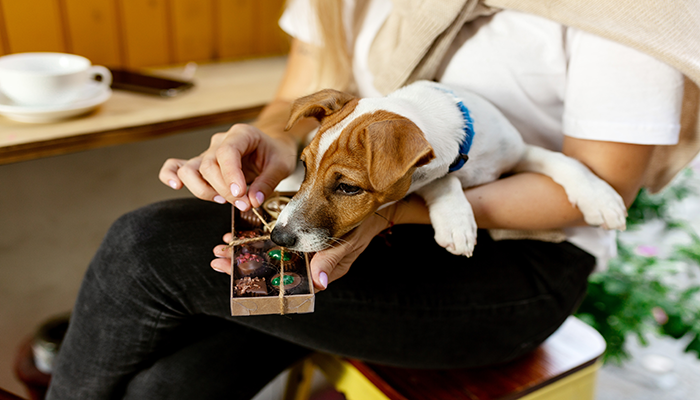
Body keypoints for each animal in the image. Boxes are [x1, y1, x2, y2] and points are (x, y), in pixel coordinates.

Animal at [270, 80, 628, 256]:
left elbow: (566, 161)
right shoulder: (438, 170)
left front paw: (601, 199)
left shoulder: (520, 150)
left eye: (348, 187)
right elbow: (442, 180)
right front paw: (456, 221)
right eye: (305, 166)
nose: (278, 237)